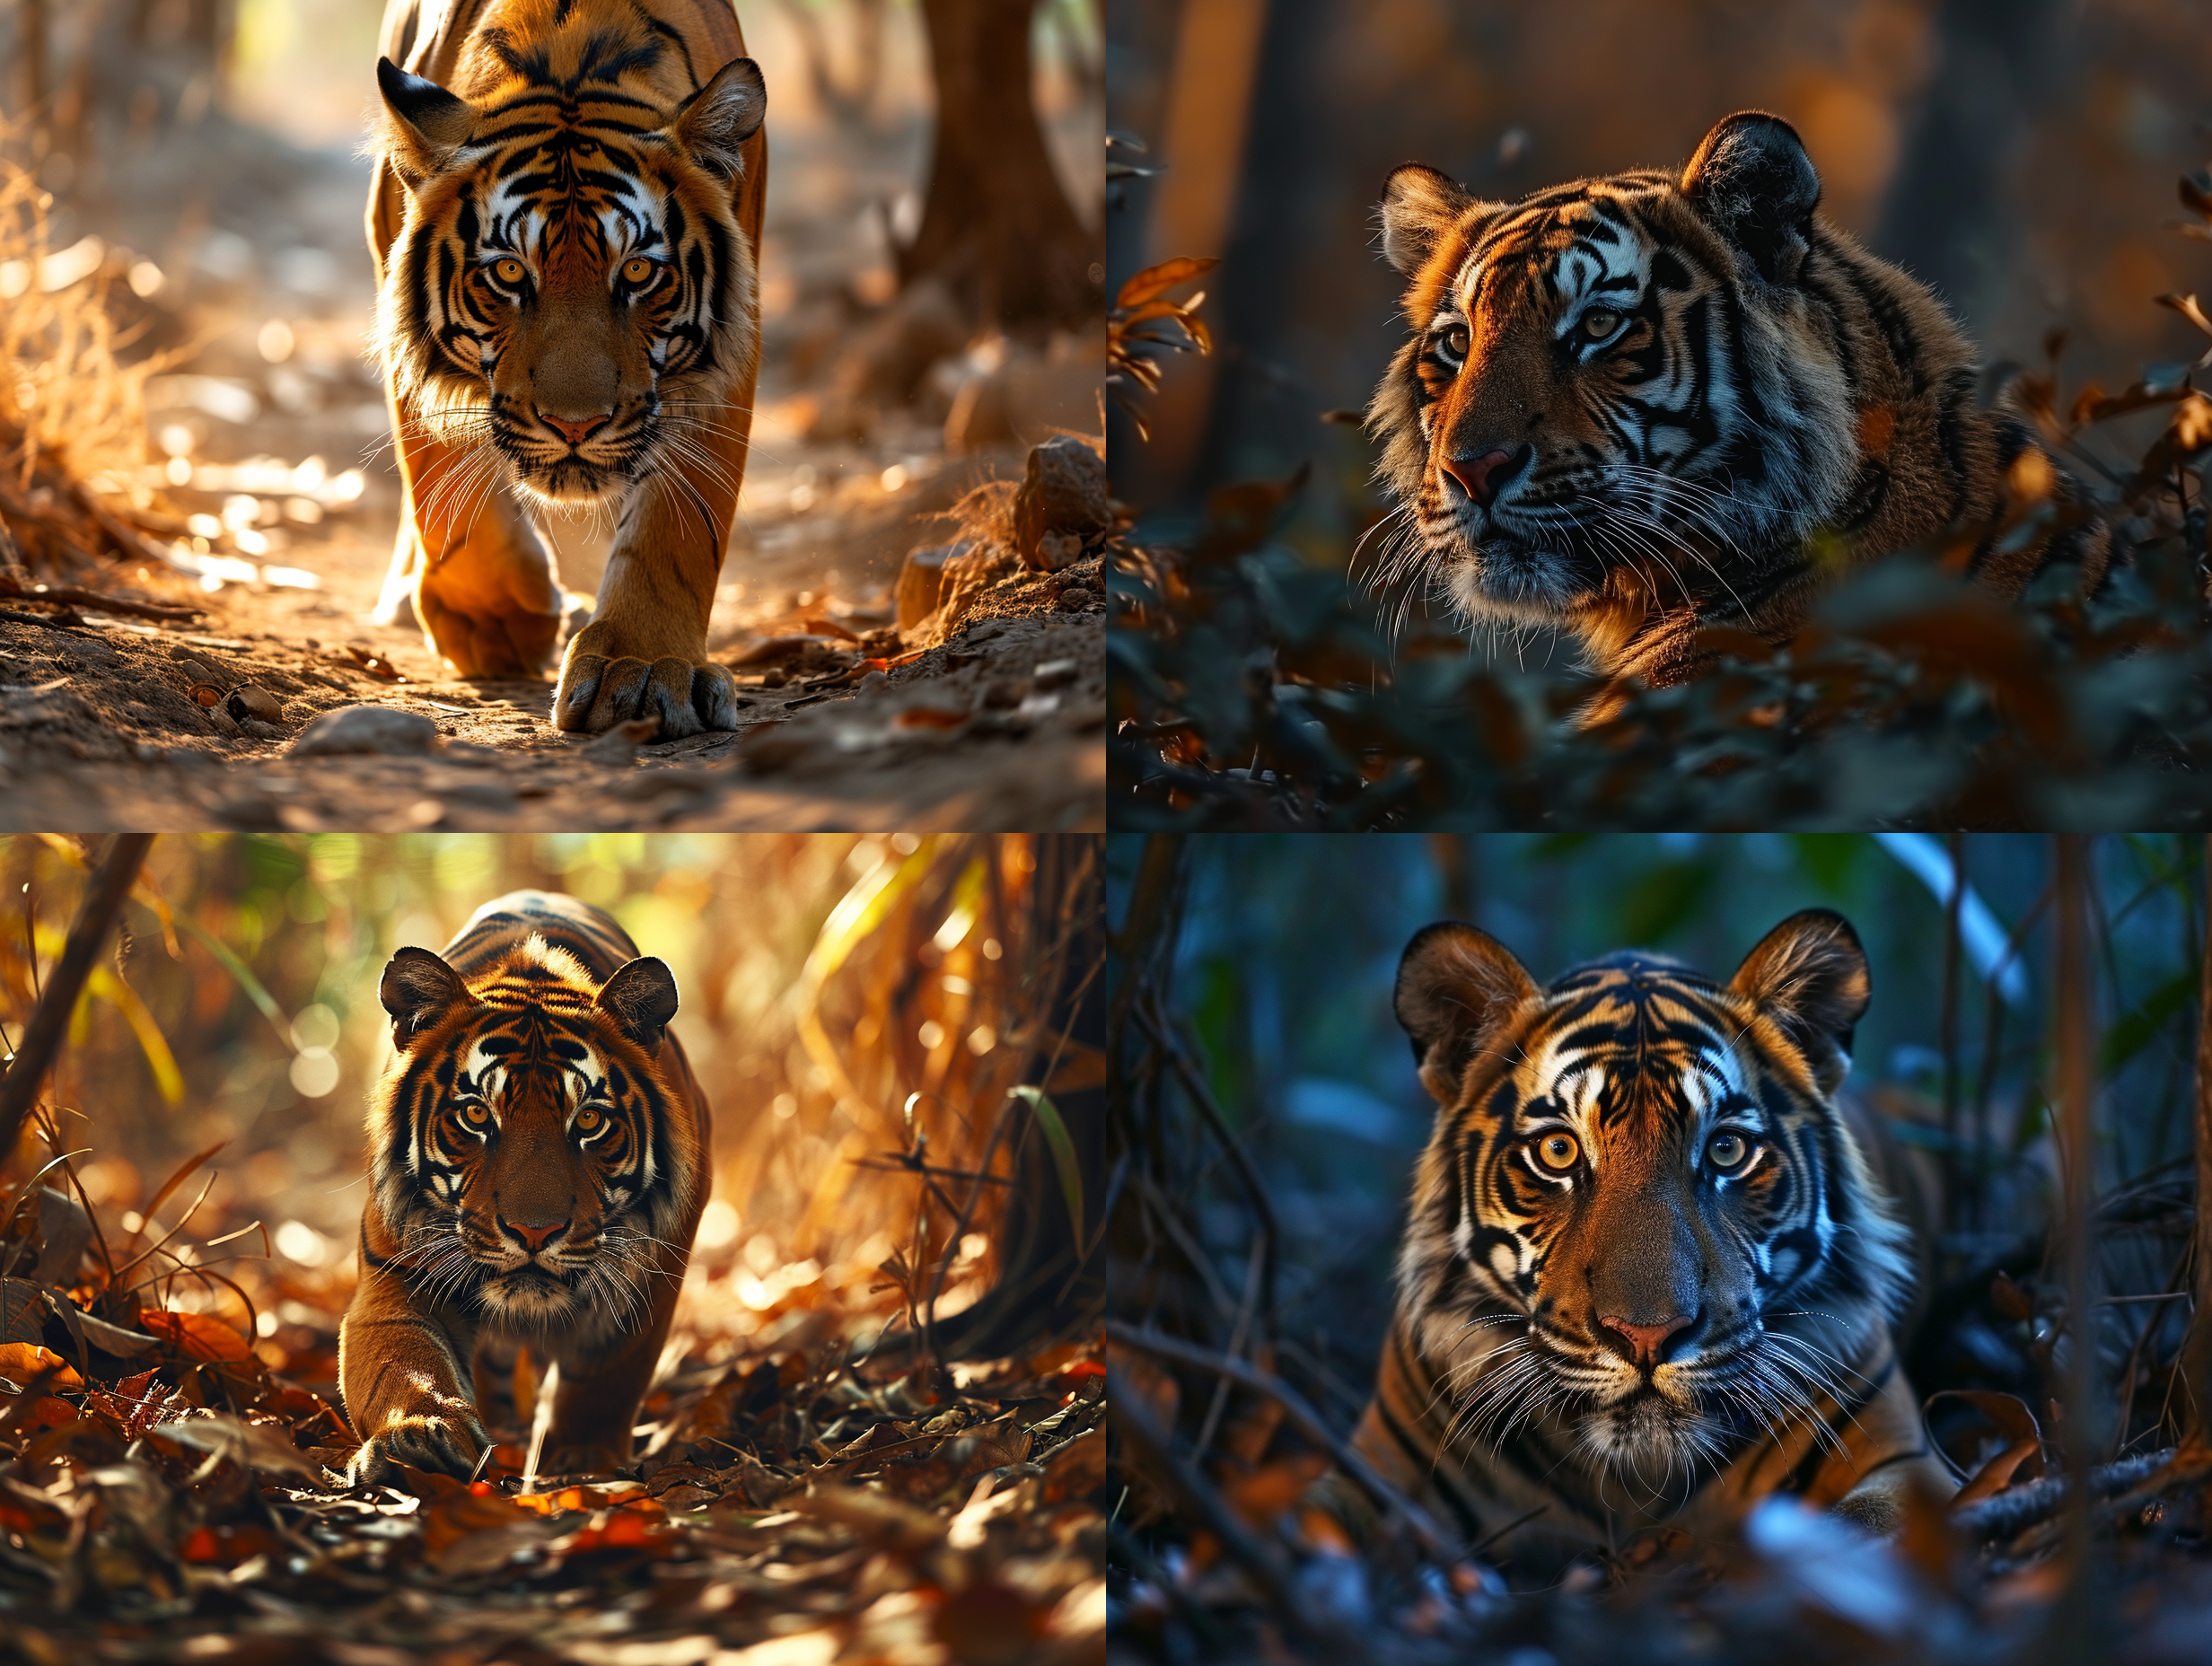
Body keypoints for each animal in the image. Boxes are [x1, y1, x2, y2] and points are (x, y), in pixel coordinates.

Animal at [338, 889, 709, 1485]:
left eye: (589, 1121)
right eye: (475, 1114)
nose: (534, 1233)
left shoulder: (650, 1277)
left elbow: (606, 1378)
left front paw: (584, 1459)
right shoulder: (397, 1274)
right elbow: (401, 1361)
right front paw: (418, 1437)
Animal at [366, 0, 767, 736]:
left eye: (636, 272)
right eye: (507, 273)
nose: (573, 427)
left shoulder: (729, 339)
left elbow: (681, 520)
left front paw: (644, 669)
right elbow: (436, 463)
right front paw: (496, 618)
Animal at [1348, 907, 1951, 1575]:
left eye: (1726, 1149)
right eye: (1557, 1151)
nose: (1647, 1337)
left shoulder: (1905, 1465)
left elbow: (1861, 1529)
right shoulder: (1373, 1473)